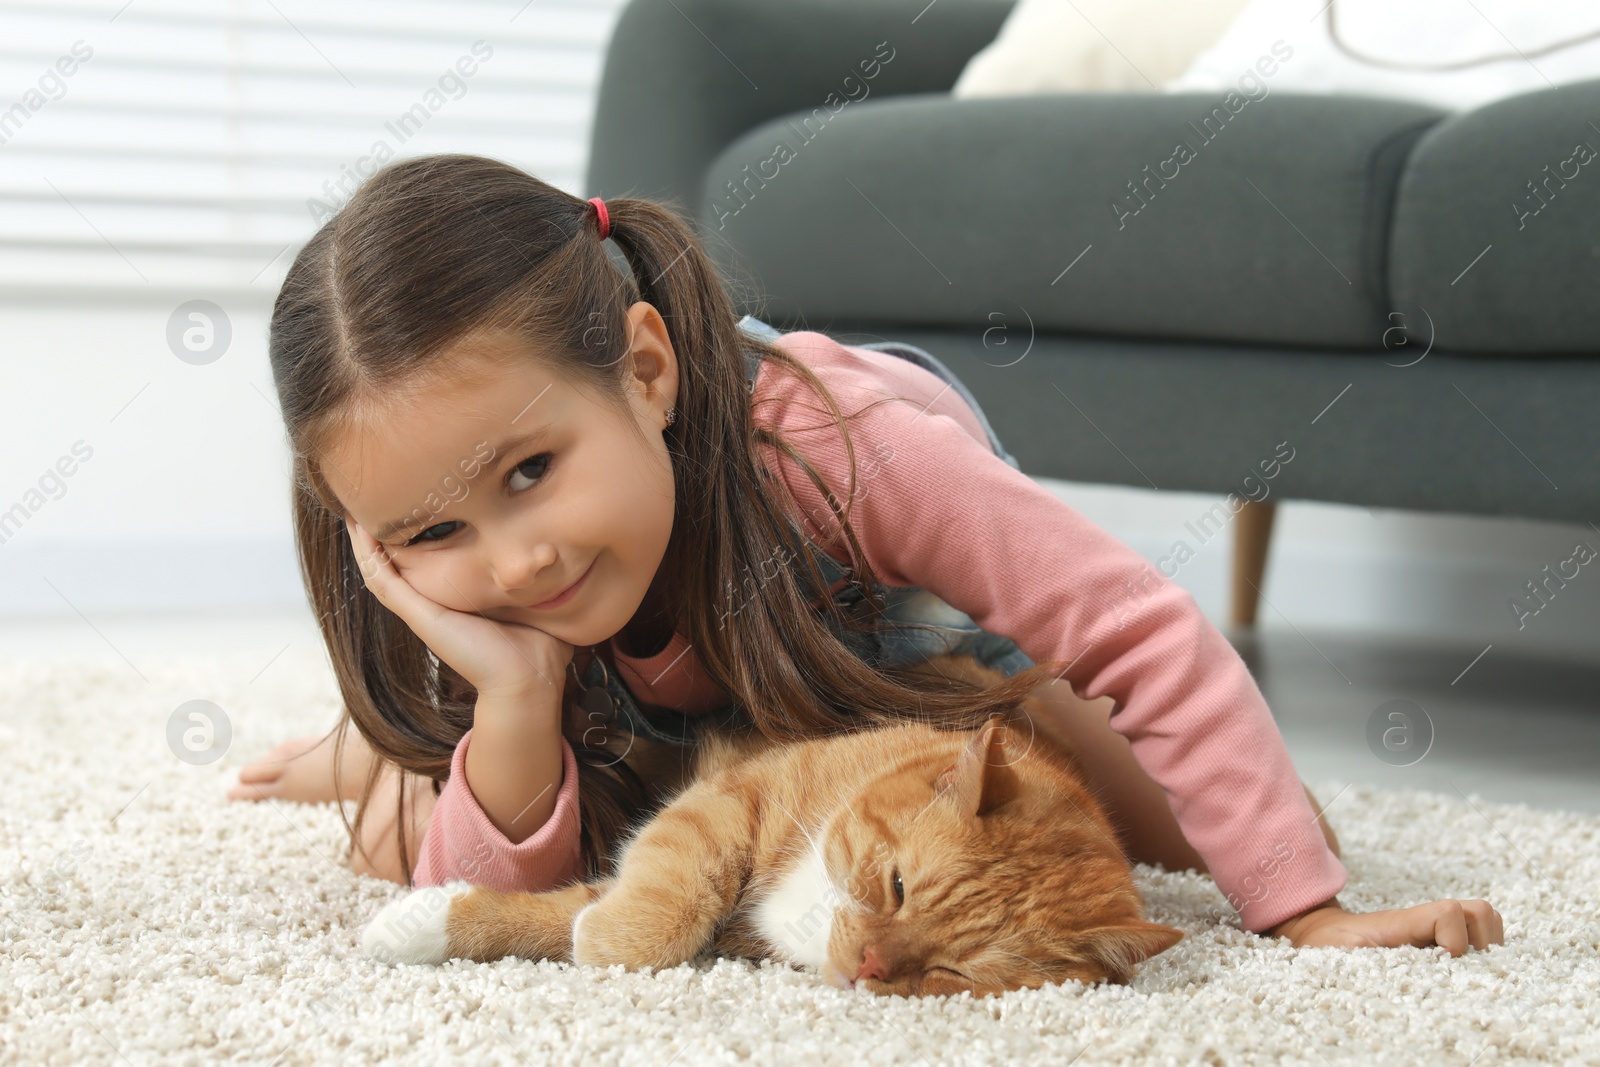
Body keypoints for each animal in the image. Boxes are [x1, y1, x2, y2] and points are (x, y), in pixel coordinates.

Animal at [366, 655, 1190, 998]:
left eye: (960, 973)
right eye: (896, 886)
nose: (867, 966)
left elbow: (571, 914)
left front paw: (424, 924)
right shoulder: (731, 801)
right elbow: (660, 908)